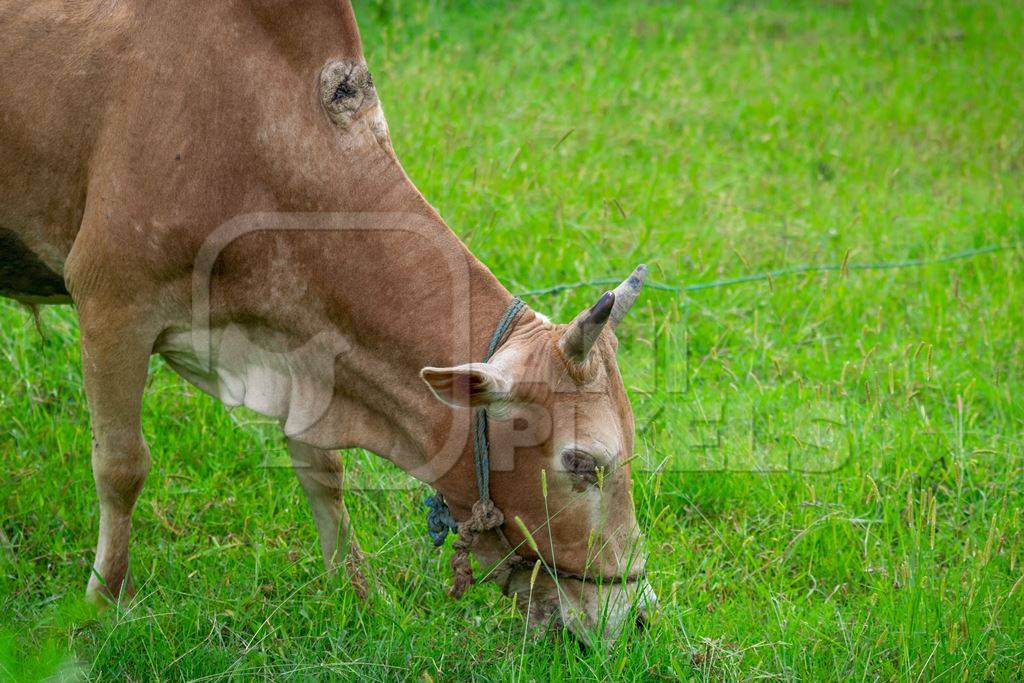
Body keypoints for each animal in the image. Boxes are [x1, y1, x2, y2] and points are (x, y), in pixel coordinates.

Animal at [0, 0, 655, 643]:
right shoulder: (111, 302)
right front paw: (104, 605)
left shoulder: (306, 348)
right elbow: (121, 466)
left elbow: (323, 467)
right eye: (582, 463)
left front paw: (360, 593)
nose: (636, 615)